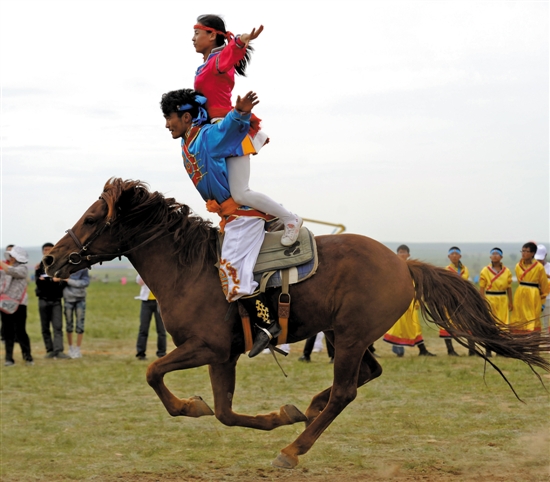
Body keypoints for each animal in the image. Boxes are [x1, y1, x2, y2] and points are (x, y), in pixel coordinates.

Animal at [44, 179, 550, 468]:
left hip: (350, 337)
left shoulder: (208, 348)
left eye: (93, 218)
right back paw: (310, 406)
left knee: (347, 390)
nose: (50, 259)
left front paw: (194, 406)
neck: (192, 270)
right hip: (348, 336)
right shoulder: (222, 356)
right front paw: (277, 413)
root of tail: (402, 264)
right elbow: (224, 412)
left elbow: (155, 373)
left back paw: (295, 448)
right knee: (367, 374)